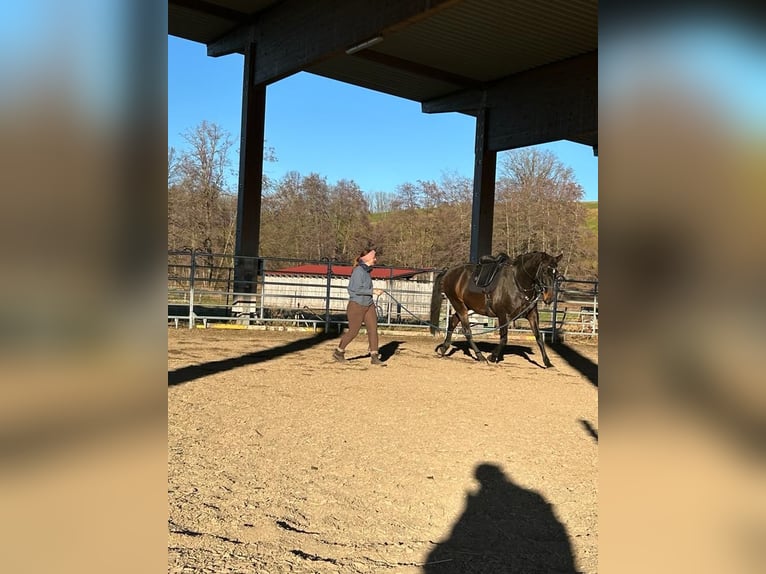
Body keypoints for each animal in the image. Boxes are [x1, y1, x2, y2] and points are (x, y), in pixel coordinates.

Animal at [432, 252, 564, 368]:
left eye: (556, 273)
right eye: (544, 270)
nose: (549, 298)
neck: (518, 282)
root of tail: (448, 271)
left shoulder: (532, 315)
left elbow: (539, 338)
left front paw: (548, 362)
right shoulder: (503, 315)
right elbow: (504, 338)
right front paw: (492, 356)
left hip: (464, 306)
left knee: (453, 322)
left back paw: (444, 348)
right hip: (459, 305)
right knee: (467, 331)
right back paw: (480, 357)